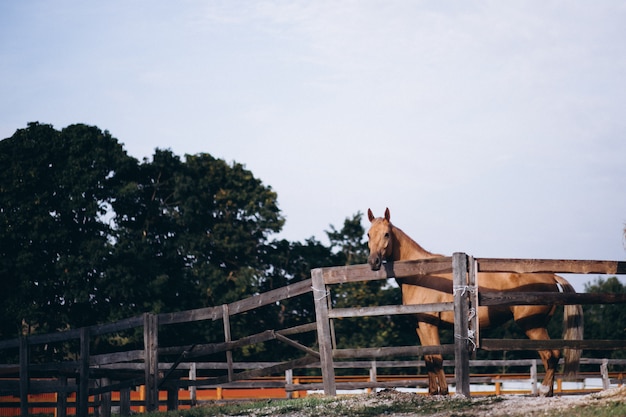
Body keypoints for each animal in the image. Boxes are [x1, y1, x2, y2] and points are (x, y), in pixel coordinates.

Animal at [366, 208, 580, 396]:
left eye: (386, 234)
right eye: (368, 234)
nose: (373, 262)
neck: (421, 274)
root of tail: (550, 276)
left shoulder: (430, 325)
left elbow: (437, 358)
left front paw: (444, 391)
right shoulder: (421, 326)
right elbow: (428, 358)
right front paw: (433, 392)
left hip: (532, 326)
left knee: (551, 355)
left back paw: (543, 391)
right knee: (549, 357)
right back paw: (548, 392)